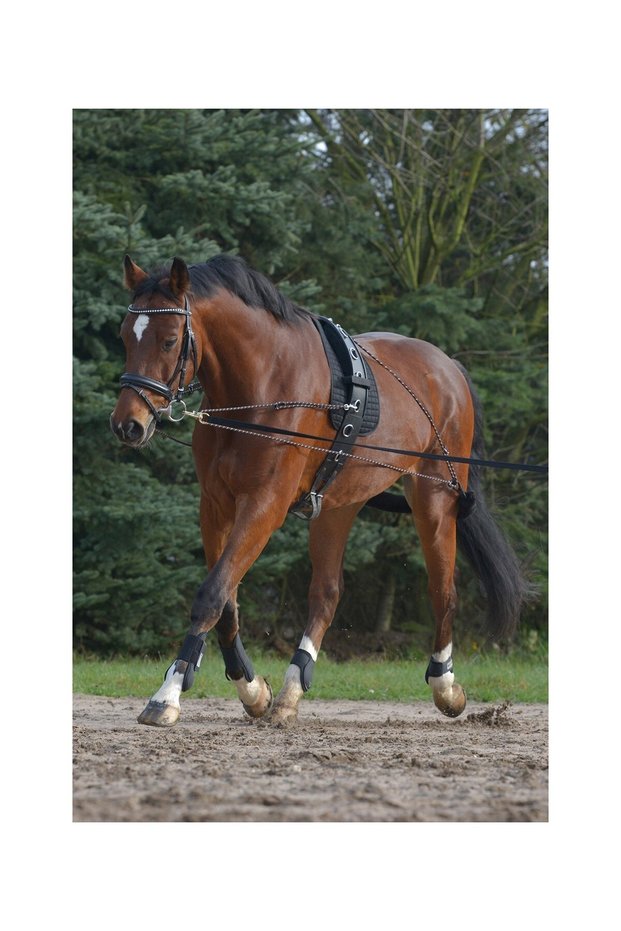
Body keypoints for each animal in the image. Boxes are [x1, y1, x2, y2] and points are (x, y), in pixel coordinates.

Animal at [110, 253, 527, 727]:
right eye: (125, 335)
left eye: (169, 340)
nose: (128, 424)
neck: (261, 385)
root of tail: (449, 367)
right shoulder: (215, 505)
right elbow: (227, 599)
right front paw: (252, 690)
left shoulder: (264, 505)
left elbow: (211, 594)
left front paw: (168, 694)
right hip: (337, 505)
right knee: (326, 594)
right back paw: (292, 689)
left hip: (434, 500)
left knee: (443, 591)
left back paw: (445, 685)